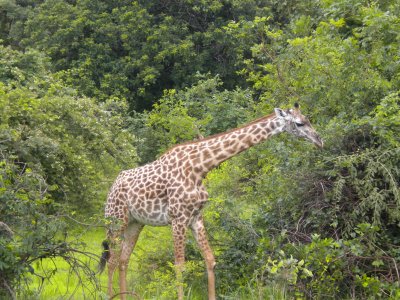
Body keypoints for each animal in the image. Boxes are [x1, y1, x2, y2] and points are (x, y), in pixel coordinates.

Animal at [98, 103, 324, 300]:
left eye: (308, 119)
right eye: (299, 123)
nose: (320, 140)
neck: (200, 168)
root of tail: (111, 188)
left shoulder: (196, 217)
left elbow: (210, 260)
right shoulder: (178, 218)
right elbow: (180, 266)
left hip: (135, 223)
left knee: (123, 261)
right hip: (116, 221)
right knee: (112, 261)